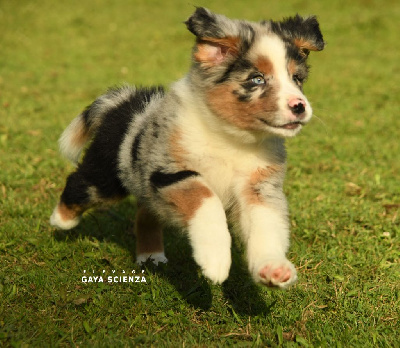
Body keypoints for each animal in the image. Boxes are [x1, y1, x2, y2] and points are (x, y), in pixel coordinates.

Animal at [50, 8, 324, 290]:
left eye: (297, 79)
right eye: (257, 79)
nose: (300, 106)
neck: (231, 138)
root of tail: (127, 104)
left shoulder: (259, 186)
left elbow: (266, 227)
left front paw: (273, 268)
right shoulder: (171, 171)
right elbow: (206, 199)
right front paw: (215, 260)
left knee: (145, 212)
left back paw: (150, 254)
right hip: (107, 176)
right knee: (80, 183)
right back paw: (61, 220)